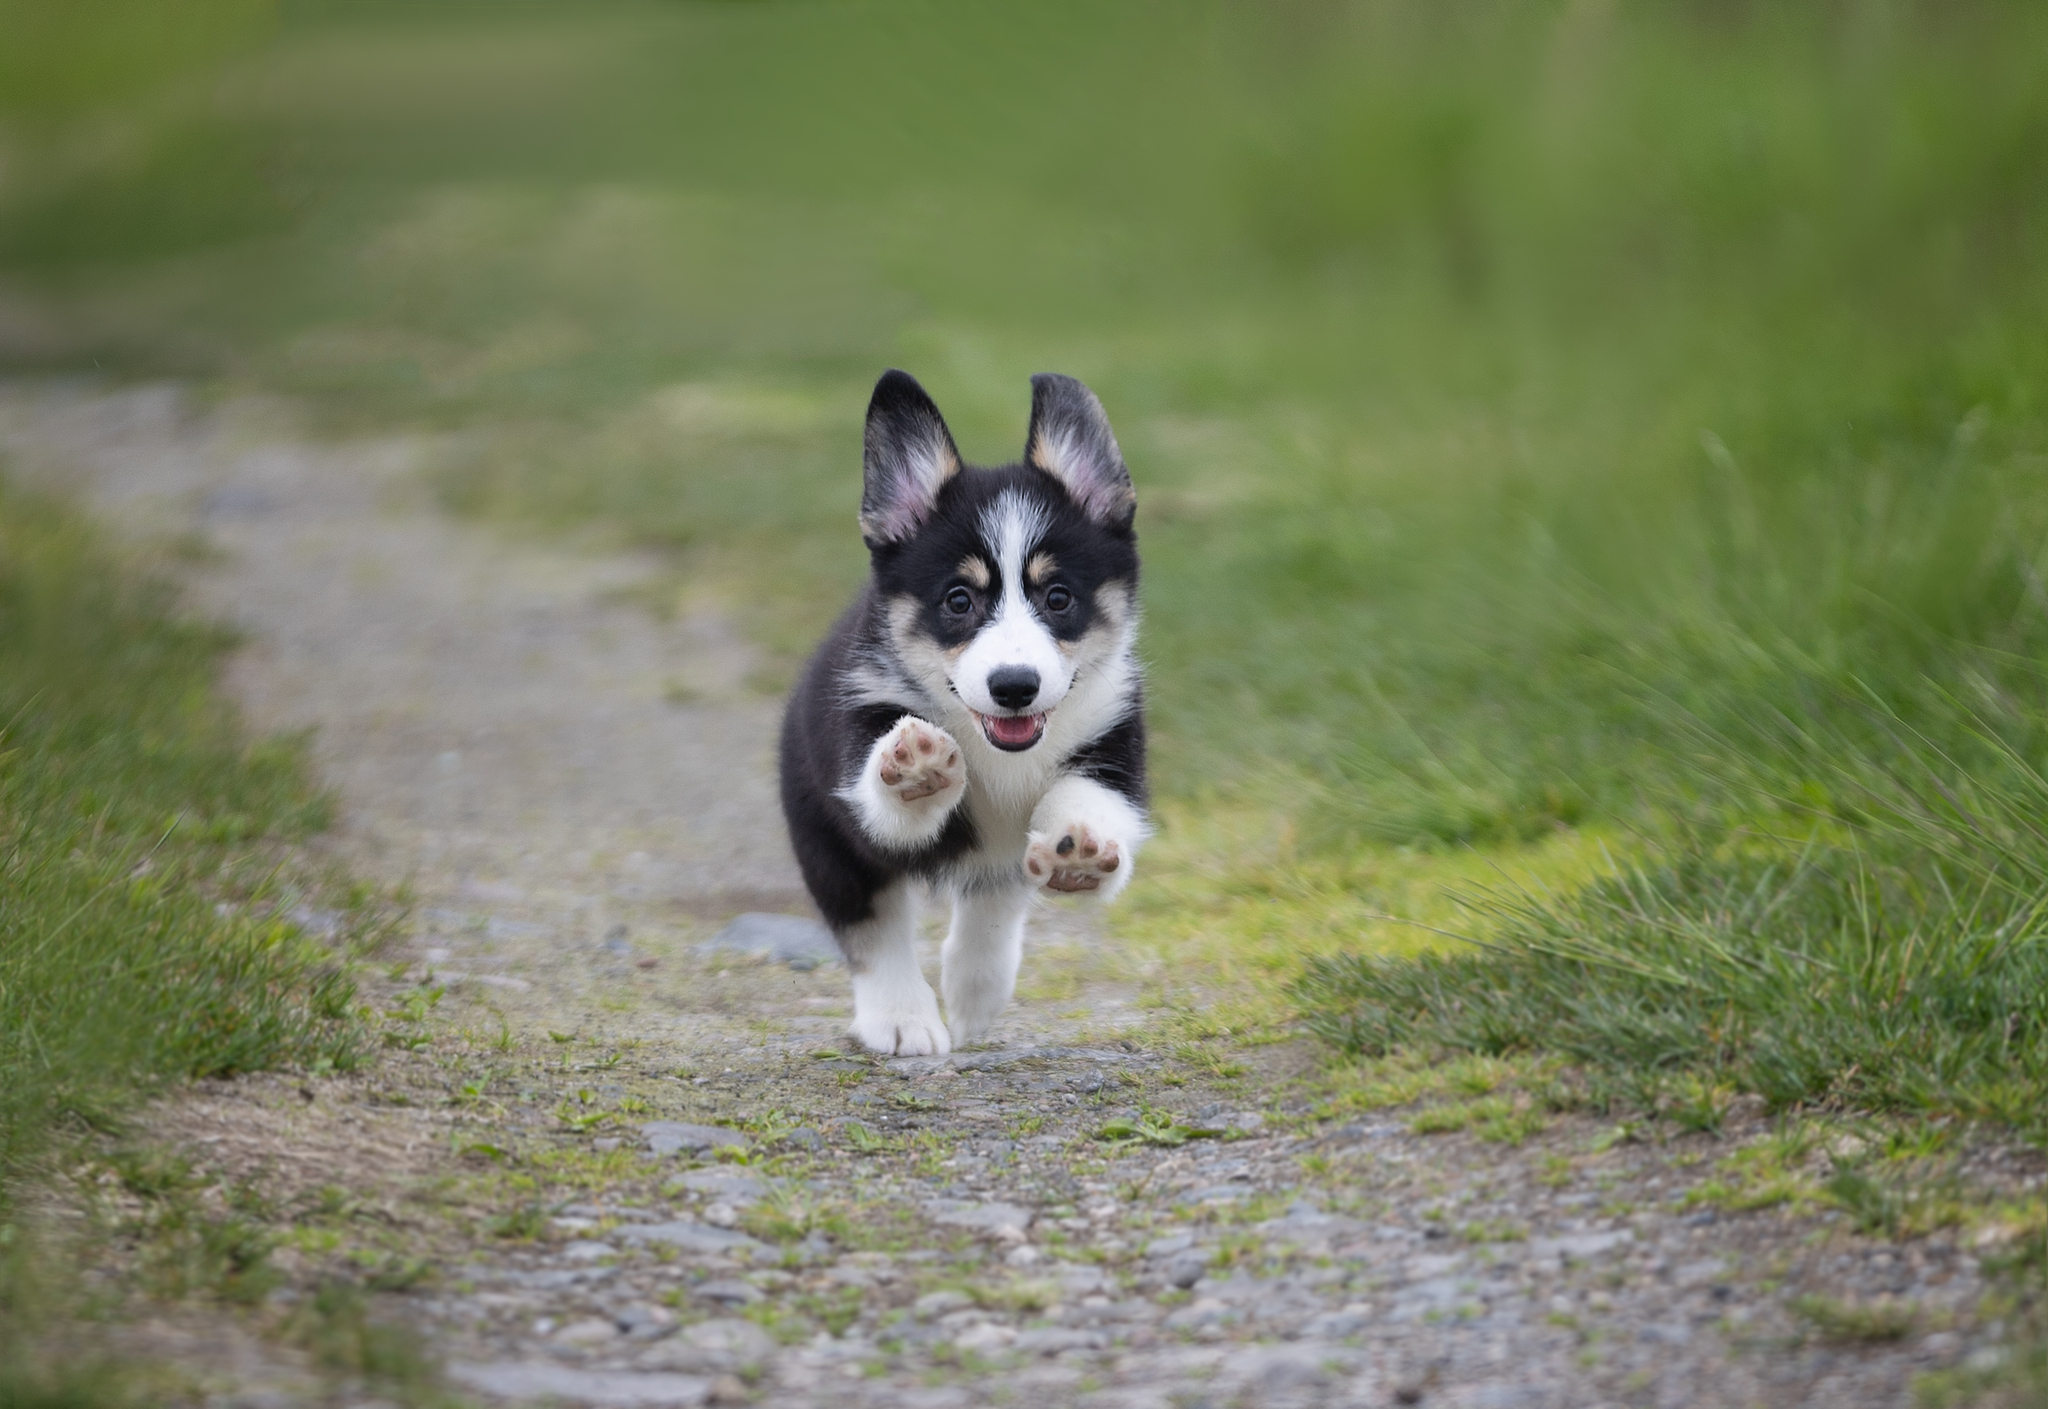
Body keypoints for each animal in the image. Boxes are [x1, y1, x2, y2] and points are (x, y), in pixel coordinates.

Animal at [774, 368, 1146, 1048]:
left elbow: (1087, 801)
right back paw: (901, 1019)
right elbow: (887, 802)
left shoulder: (1113, 745)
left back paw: (976, 993)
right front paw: (916, 766)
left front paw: (1079, 851)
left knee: (992, 900)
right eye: (958, 600)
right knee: (874, 929)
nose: (1014, 686)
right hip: (826, 843)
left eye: (1058, 597)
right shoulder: (858, 737)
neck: (995, 750)